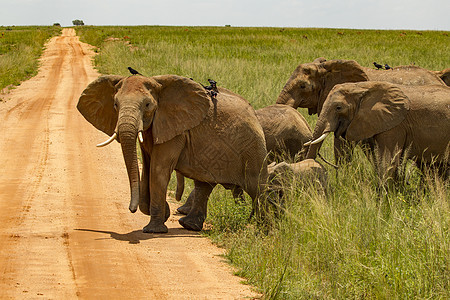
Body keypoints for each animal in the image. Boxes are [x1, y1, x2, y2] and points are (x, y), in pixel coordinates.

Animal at [77, 74, 268, 233]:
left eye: (147, 105)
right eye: (115, 105)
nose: (130, 209)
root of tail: (253, 113)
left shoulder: (175, 132)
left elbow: (158, 170)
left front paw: (154, 230)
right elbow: (147, 168)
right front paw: (165, 213)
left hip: (252, 148)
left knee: (257, 187)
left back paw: (265, 231)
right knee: (204, 184)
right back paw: (189, 226)